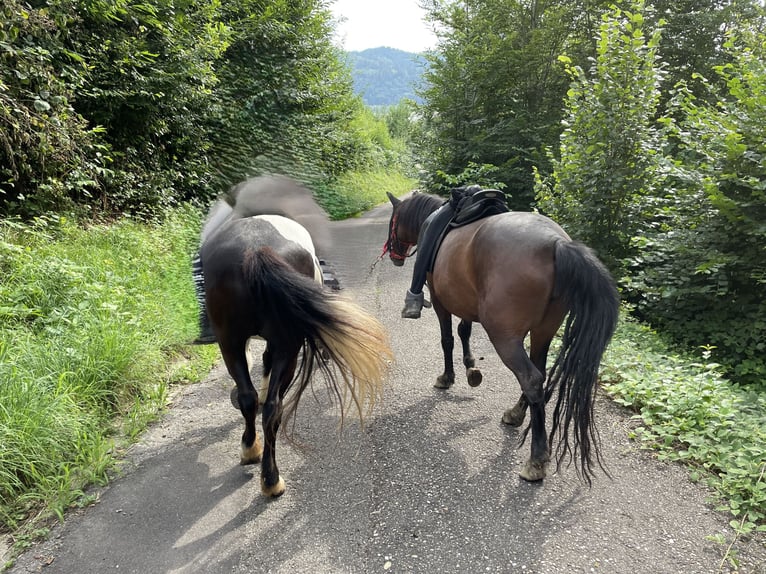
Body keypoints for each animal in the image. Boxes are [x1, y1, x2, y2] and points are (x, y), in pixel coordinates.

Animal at [201, 180, 392, 500]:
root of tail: (256, 249)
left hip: (240, 341)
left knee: (257, 402)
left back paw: (259, 462)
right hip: (269, 343)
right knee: (266, 405)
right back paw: (268, 475)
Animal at [384, 191, 616, 484]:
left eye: (393, 221)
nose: (394, 254)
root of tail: (556, 243)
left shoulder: (439, 301)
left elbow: (447, 339)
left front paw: (447, 377)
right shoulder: (466, 303)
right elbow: (464, 331)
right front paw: (471, 369)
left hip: (504, 337)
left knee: (531, 379)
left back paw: (536, 459)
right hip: (543, 332)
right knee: (539, 374)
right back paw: (516, 414)